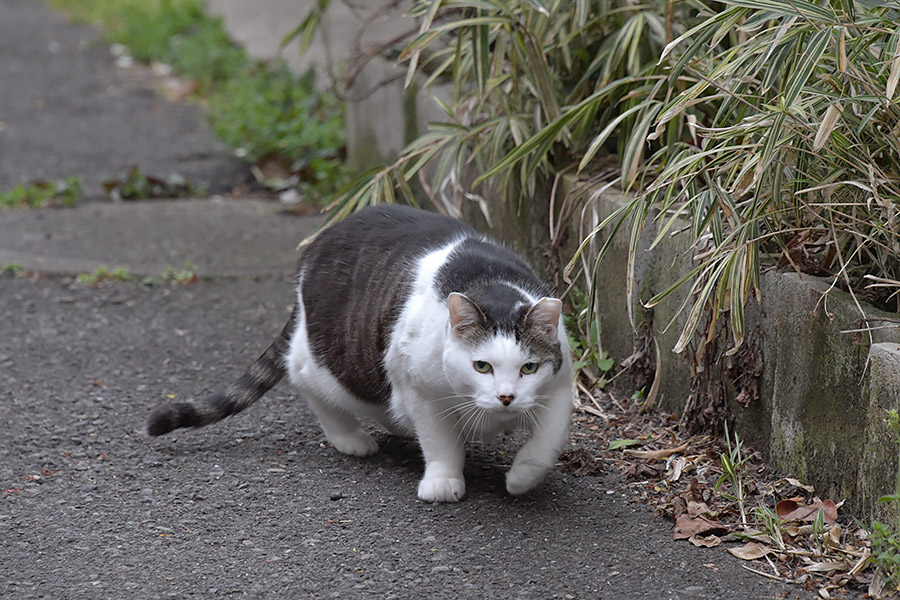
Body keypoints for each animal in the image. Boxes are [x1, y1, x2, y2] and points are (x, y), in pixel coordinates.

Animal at [146, 203, 568, 502]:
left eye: (528, 368)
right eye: (482, 366)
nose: (507, 397)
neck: (491, 285)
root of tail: (317, 243)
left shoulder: (559, 387)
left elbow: (547, 441)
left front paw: (521, 478)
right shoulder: (423, 393)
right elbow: (440, 442)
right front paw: (443, 481)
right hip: (333, 361)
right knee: (303, 373)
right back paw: (350, 437)